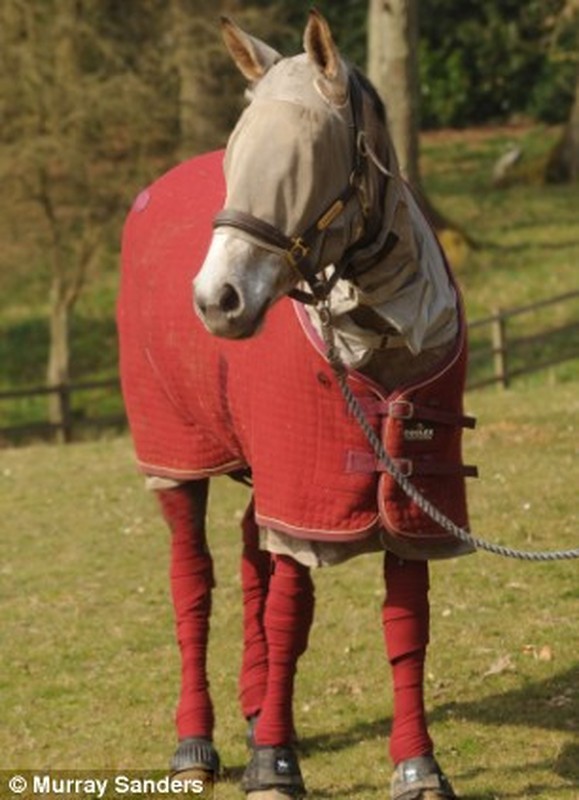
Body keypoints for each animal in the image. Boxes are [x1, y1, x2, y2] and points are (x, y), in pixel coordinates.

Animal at [115, 12, 478, 800]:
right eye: (235, 154)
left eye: (306, 158)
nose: (215, 300)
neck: (377, 333)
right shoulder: (305, 497)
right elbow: (290, 612)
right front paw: (273, 763)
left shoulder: (408, 496)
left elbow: (405, 623)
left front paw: (417, 765)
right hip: (176, 459)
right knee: (193, 582)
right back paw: (196, 740)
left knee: (251, 559)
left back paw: (254, 707)